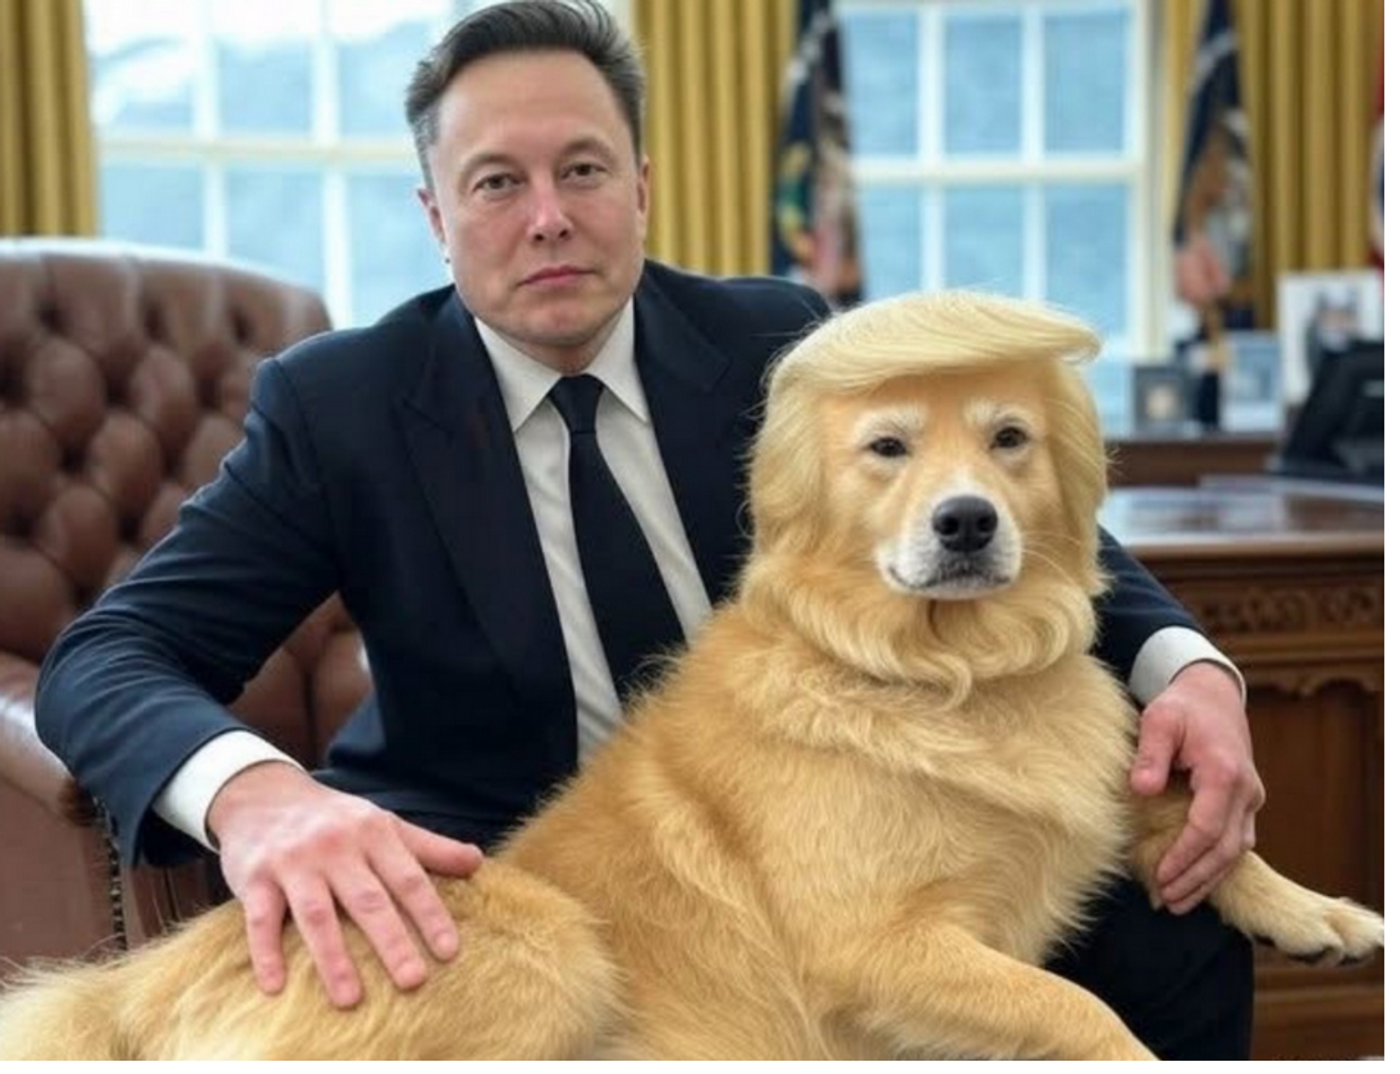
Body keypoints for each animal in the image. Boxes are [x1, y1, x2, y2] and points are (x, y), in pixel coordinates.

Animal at [0, 291, 1377, 1058]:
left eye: (1007, 439)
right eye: (886, 448)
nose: (966, 524)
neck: (937, 676)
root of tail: (125, 999)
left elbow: (1179, 812)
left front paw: (1308, 905)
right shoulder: (879, 951)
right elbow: (1087, 1019)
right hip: (551, 945)